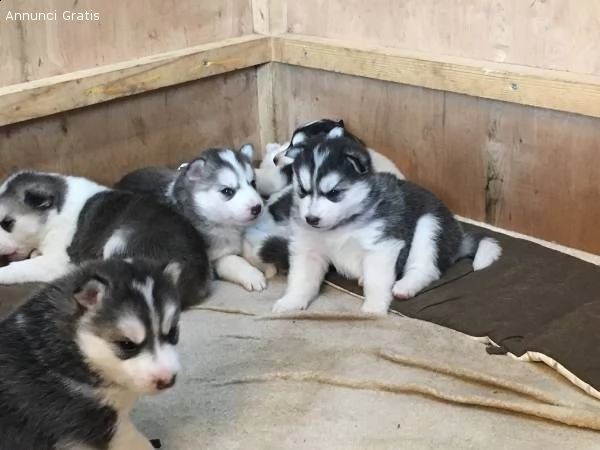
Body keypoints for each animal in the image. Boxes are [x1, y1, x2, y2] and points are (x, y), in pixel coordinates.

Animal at [117, 145, 268, 292]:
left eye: (253, 183)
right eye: (227, 191)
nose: (257, 207)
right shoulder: (211, 259)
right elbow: (232, 260)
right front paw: (252, 275)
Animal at [274, 128, 502, 314]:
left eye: (333, 193)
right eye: (303, 191)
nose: (311, 219)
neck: (340, 226)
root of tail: (458, 237)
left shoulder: (382, 246)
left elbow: (377, 281)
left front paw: (374, 308)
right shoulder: (308, 249)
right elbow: (301, 280)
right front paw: (291, 301)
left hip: (430, 225)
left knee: (426, 268)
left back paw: (405, 286)